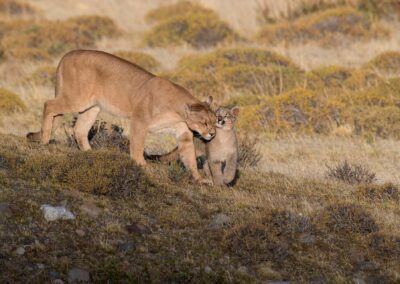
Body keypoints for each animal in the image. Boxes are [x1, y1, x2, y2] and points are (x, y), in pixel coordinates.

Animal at [27, 49, 216, 182]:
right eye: (204, 122)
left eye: (215, 121)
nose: (213, 134)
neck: (178, 111)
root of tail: (67, 54)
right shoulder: (139, 121)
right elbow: (137, 146)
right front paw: (142, 165)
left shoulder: (183, 134)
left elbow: (190, 158)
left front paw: (199, 180)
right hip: (76, 99)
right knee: (49, 105)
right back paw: (44, 139)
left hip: (92, 107)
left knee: (79, 130)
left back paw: (92, 154)